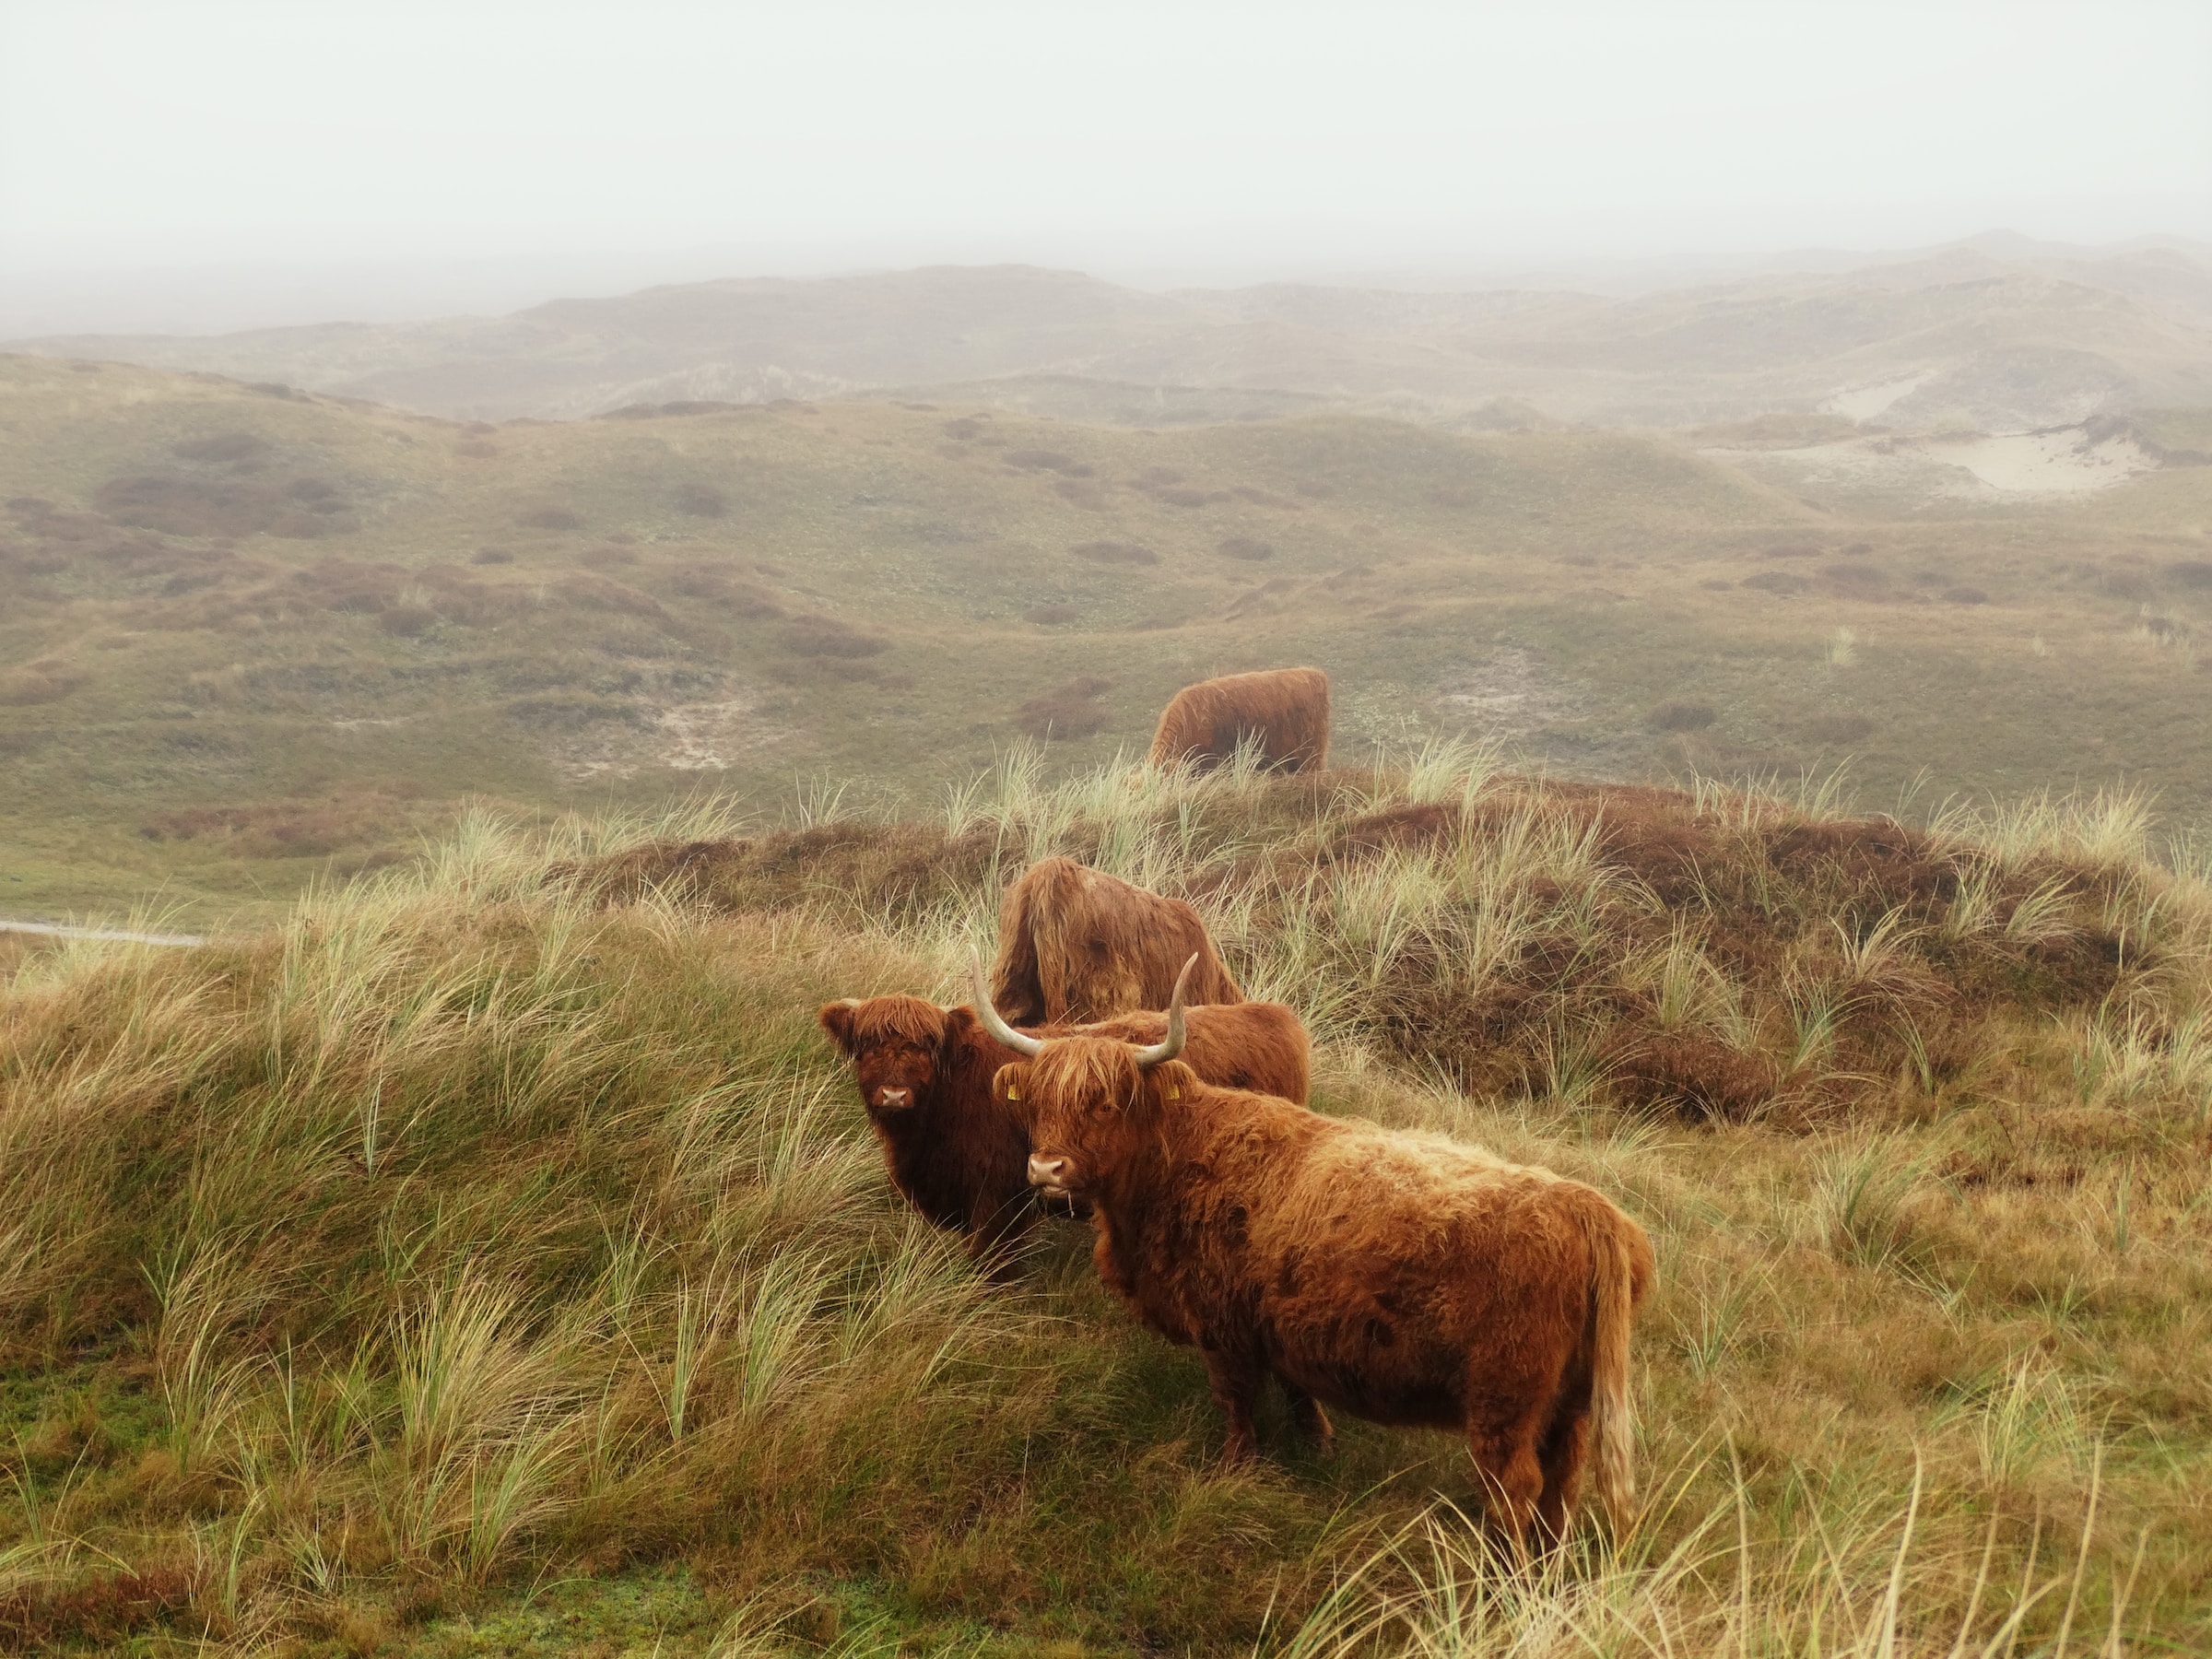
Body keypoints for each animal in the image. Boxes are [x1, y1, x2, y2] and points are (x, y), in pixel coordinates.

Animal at [977, 955, 1654, 1557]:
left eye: (1106, 1101)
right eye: (1036, 1101)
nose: (1046, 1168)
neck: (1172, 1161)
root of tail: (1590, 1209)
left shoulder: (1222, 1326)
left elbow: (1237, 1403)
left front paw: (1236, 1469)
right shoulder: (1282, 1322)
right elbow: (1297, 1387)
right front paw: (1318, 1443)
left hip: (1504, 1402)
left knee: (1515, 1488)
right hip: (1571, 1408)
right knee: (1563, 1485)